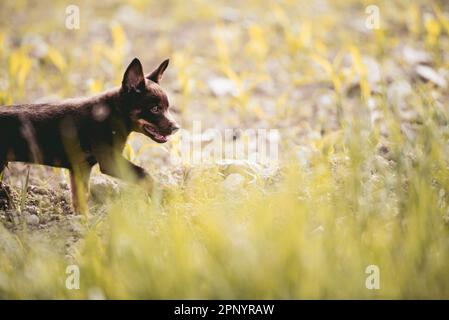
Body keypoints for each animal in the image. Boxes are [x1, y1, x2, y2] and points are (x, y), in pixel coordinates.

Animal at [0, 57, 178, 214]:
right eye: (155, 108)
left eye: (167, 108)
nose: (177, 128)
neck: (114, 114)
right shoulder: (110, 160)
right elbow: (144, 174)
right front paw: (163, 193)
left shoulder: (81, 168)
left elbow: (80, 199)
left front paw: (83, 221)